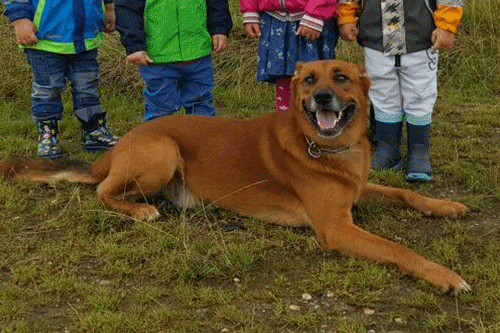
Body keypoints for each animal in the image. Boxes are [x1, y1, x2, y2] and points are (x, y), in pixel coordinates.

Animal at [0, 60, 468, 294]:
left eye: (341, 77)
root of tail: (119, 144)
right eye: (308, 79)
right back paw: (140, 211)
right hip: (163, 150)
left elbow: (403, 194)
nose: (321, 97)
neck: (324, 146)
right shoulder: (336, 228)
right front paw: (444, 276)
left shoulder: (357, 191)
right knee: (102, 190)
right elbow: (398, 249)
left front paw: (444, 205)